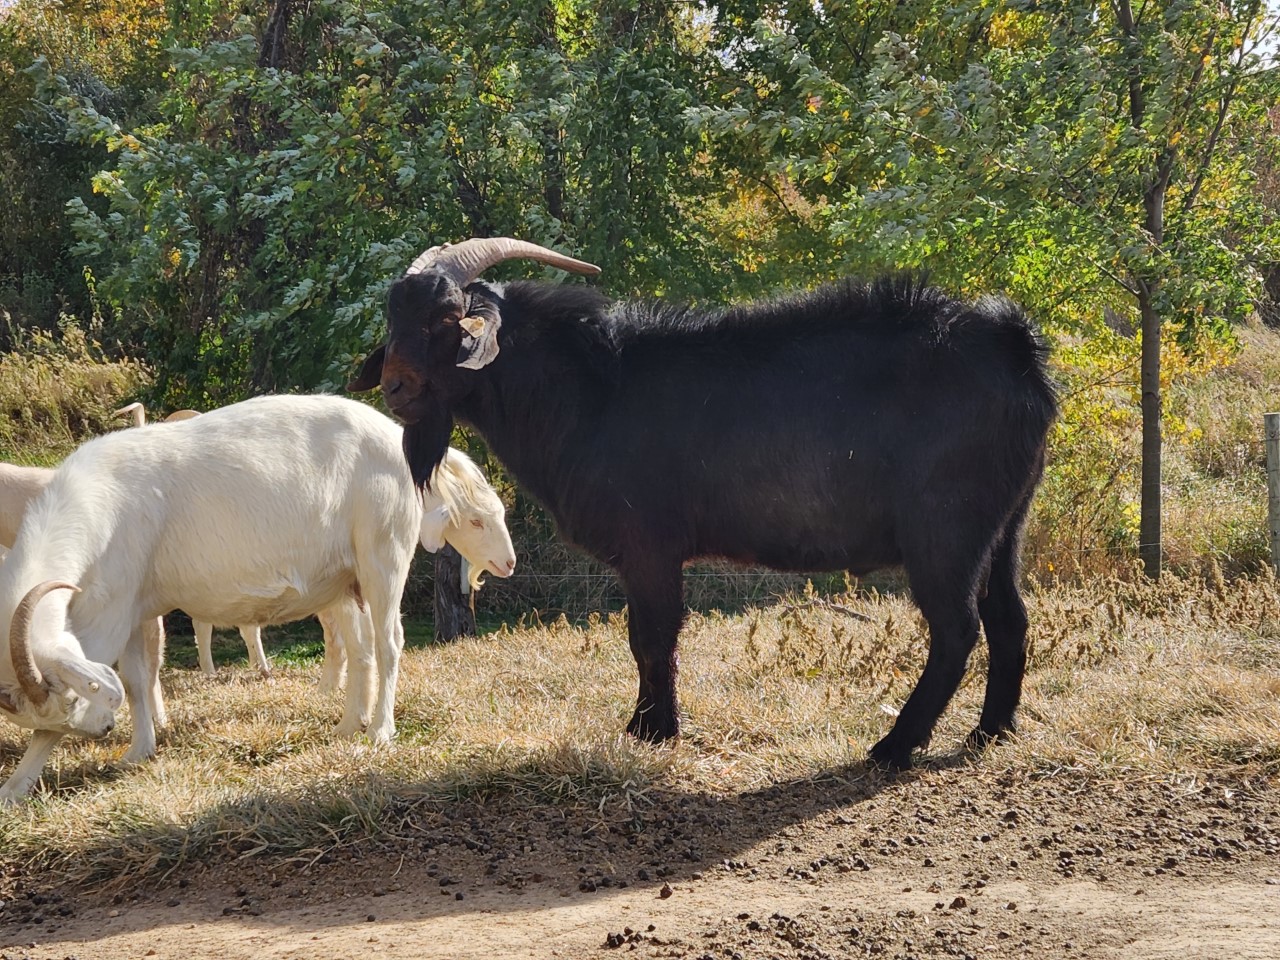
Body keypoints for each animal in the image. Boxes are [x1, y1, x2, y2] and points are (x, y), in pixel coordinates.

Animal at [0, 394, 431, 802]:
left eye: (72, 701)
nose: (104, 728)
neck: (95, 503)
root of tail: (393, 434)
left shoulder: (109, 611)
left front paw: (15, 786)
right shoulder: (135, 607)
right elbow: (137, 680)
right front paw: (138, 752)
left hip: (383, 549)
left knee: (388, 642)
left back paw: (379, 731)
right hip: (345, 579)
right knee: (361, 648)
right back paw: (348, 725)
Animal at [349, 238, 1058, 770]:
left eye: (446, 320)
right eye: (393, 321)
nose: (396, 386)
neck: (590, 393)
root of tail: (1016, 347)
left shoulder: (650, 546)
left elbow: (651, 635)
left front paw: (653, 730)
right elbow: (647, 636)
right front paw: (648, 726)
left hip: (946, 529)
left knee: (957, 628)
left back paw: (895, 746)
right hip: (1004, 524)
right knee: (1009, 617)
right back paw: (990, 733)